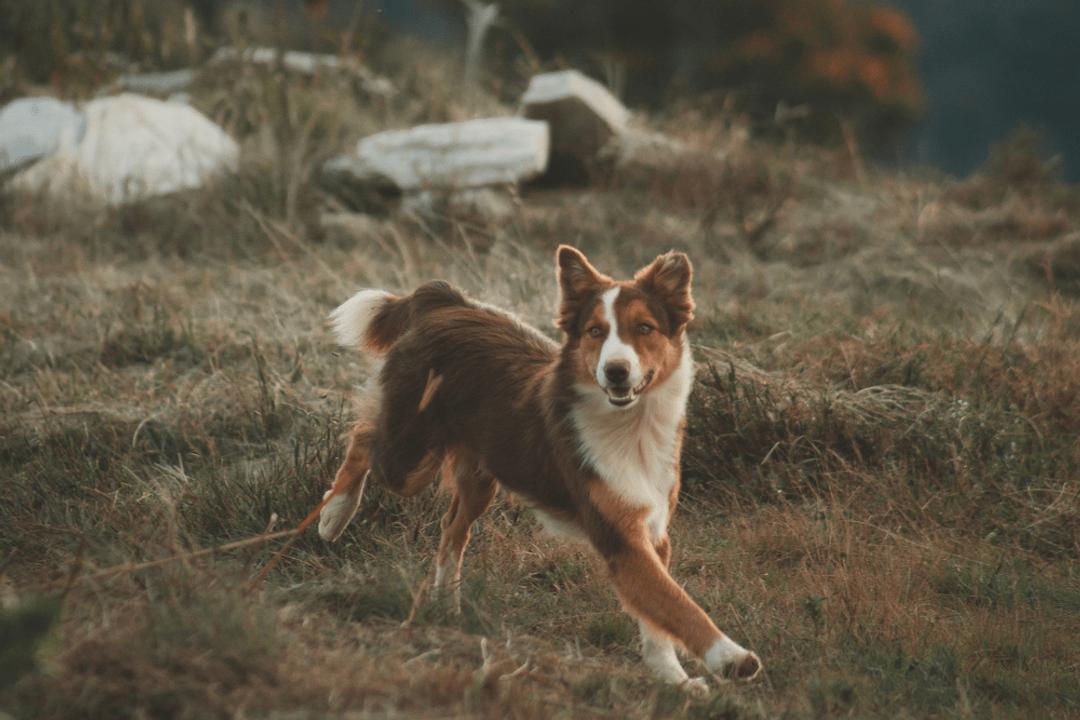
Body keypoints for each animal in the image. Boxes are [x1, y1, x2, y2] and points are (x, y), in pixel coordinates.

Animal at [315, 248, 764, 690]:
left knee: (451, 528)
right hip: (408, 458)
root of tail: (443, 302)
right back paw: (334, 515)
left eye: (644, 328)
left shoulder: (652, 533)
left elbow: (658, 618)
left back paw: (446, 603)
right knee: (363, 438)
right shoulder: (621, 537)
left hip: (480, 477)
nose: (615, 371)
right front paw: (730, 657)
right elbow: (678, 604)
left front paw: (672, 677)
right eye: (595, 332)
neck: (631, 426)